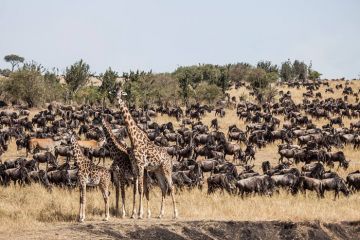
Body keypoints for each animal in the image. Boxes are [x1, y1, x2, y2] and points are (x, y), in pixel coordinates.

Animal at [116, 90, 178, 219]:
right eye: (115, 92)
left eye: (121, 93)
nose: (117, 99)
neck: (134, 139)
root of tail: (170, 159)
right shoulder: (135, 166)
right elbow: (135, 190)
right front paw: (133, 214)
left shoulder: (140, 165)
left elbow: (141, 189)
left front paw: (140, 214)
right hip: (158, 171)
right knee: (164, 188)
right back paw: (160, 214)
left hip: (166, 169)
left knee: (171, 186)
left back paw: (175, 214)